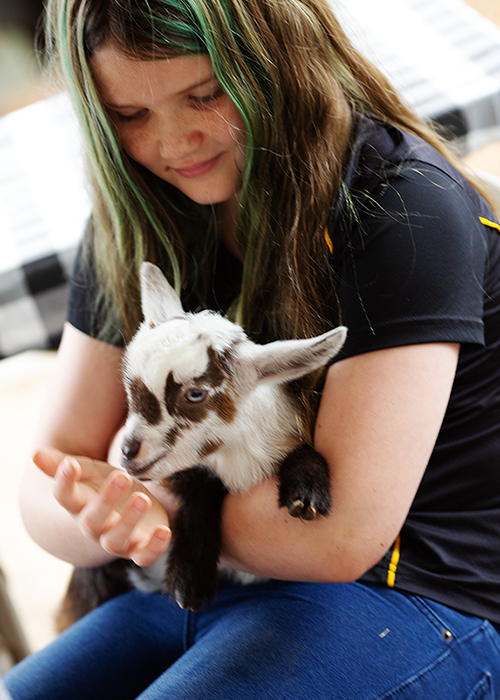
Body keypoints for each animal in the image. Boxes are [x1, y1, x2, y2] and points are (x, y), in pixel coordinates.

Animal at [57, 262, 346, 624]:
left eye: (195, 394)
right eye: (129, 386)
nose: (127, 452)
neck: (238, 459)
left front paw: (306, 493)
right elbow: (203, 484)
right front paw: (190, 579)